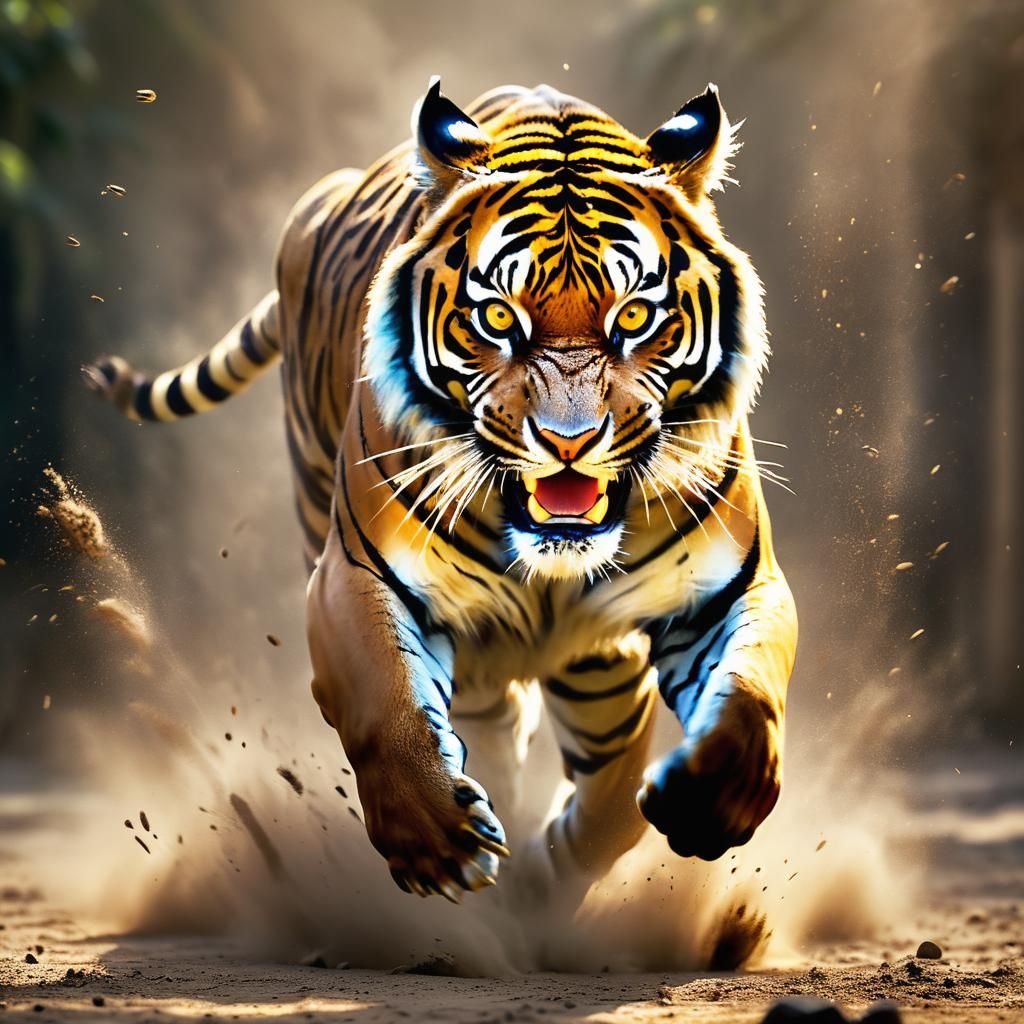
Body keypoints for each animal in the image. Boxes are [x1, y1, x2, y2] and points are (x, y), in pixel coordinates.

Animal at [84, 79, 798, 906]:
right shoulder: (352, 577)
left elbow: (742, 703)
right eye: (496, 317)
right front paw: (439, 843)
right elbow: (384, 706)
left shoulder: (736, 587)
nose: (568, 440)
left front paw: (700, 805)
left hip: (594, 662)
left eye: (634, 316)